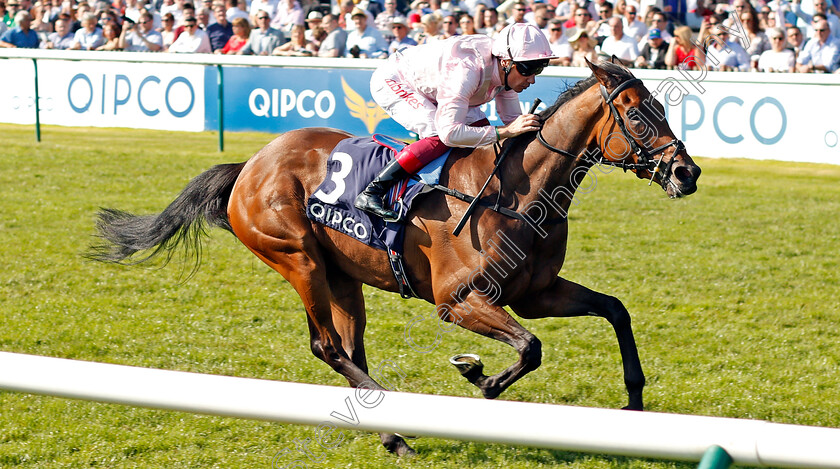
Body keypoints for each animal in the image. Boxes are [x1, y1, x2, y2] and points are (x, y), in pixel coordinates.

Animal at [88, 60, 700, 456]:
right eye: (639, 117)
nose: (687, 172)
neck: (518, 193)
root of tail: (249, 166)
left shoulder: (536, 293)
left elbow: (613, 310)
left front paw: (634, 405)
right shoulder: (459, 301)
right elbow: (530, 347)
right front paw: (479, 377)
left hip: (342, 277)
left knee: (348, 346)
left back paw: (390, 429)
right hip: (298, 259)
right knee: (327, 346)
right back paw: (398, 432)